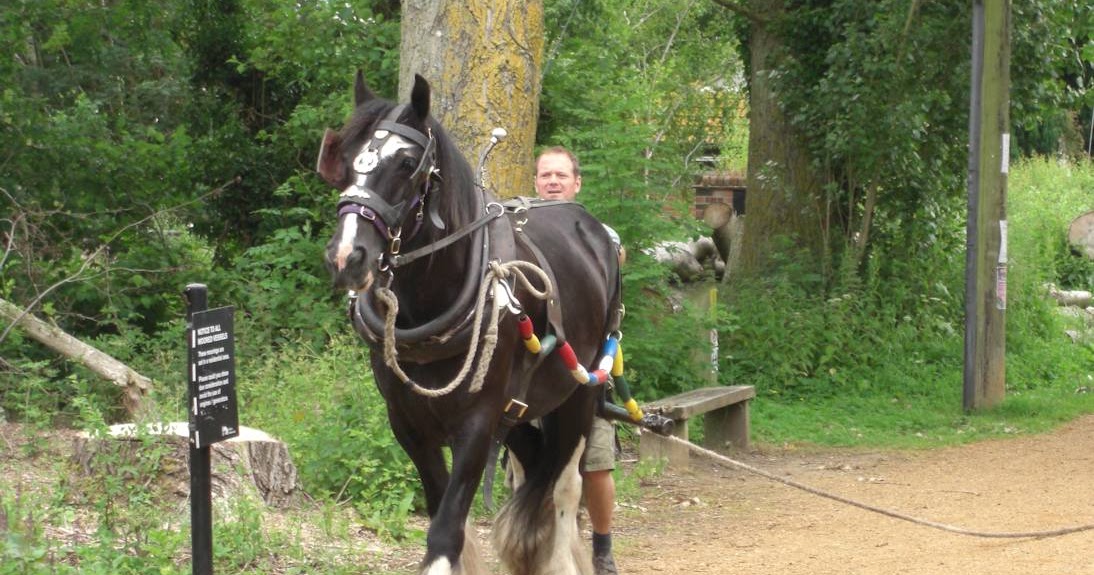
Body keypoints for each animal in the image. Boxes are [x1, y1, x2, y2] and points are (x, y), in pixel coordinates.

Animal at [318, 71, 622, 575]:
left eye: (407, 163)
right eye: (345, 160)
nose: (346, 256)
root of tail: (590, 226)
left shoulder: (478, 424)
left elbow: (447, 530)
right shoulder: (408, 424)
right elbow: (442, 512)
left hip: (579, 393)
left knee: (563, 487)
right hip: (522, 409)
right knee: (536, 469)